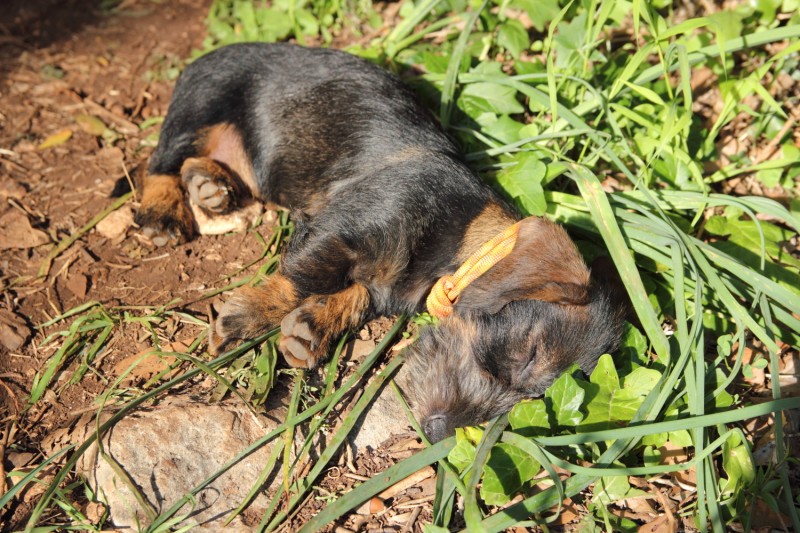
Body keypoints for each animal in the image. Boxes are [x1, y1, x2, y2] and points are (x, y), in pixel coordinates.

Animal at [136, 42, 624, 440]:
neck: (460, 234)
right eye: (527, 354)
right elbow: (302, 279)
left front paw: (312, 328)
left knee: (195, 166)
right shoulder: (341, 230)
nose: (438, 431)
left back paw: (210, 185)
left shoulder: (372, 275)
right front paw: (246, 317)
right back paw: (164, 211)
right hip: (198, 110)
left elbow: (354, 294)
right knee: (160, 164)